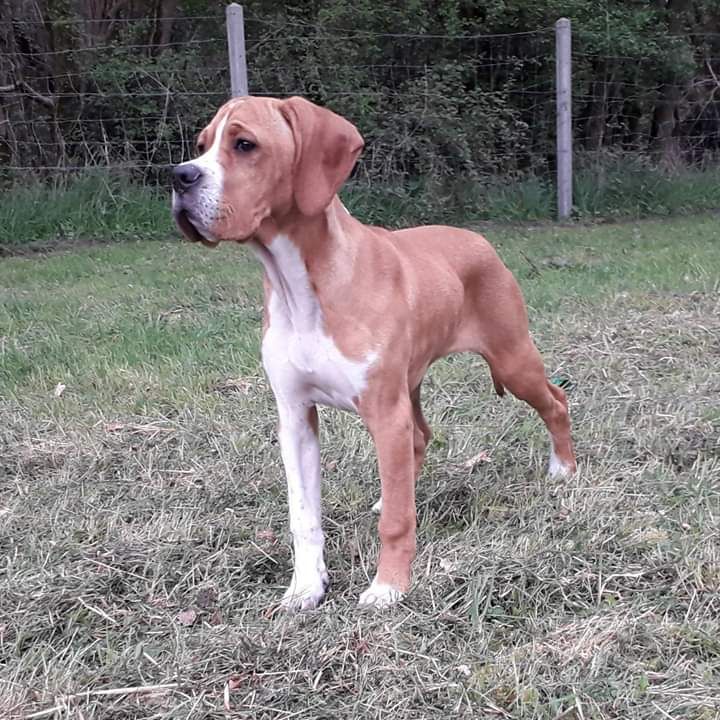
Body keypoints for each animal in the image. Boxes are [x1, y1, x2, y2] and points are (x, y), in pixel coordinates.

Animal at [172, 95, 576, 612]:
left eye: (245, 144)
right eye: (202, 144)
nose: (179, 175)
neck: (300, 285)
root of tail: (480, 239)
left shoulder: (385, 412)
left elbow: (397, 523)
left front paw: (389, 586)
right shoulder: (295, 417)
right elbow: (304, 516)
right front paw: (306, 586)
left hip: (512, 359)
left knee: (555, 402)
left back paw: (563, 470)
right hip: (414, 383)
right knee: (420, 438)